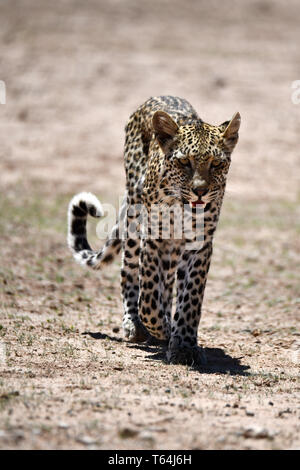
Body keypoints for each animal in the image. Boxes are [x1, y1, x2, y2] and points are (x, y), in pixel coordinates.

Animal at [67, 95, 240, 366]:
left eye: (216, 164)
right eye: (184, 162)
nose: (200, 191)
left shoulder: (199, 245)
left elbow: (190, 299)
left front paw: (184, 344)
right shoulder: (154, 240)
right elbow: (148, 295)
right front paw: (158, 326)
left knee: (167, 283)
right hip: (134, 219)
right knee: (129, 272)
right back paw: (135, 325)